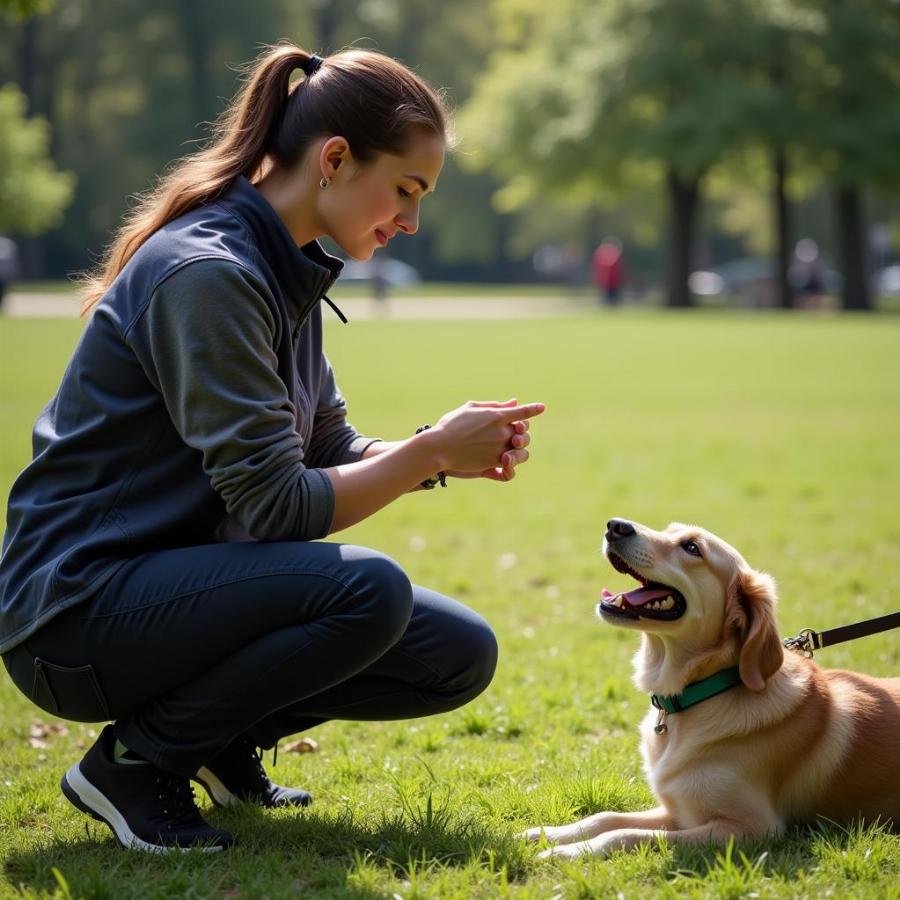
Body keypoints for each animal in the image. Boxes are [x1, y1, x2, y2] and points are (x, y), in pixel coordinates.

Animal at [524, 512, 896, 856]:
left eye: (692, 548)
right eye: (668, 529)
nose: (615, 525)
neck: (698, 695)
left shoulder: (753, 828)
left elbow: (624, 834)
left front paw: (566, 852)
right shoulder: (679, 808)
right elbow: (606, 817)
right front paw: (547, 833)